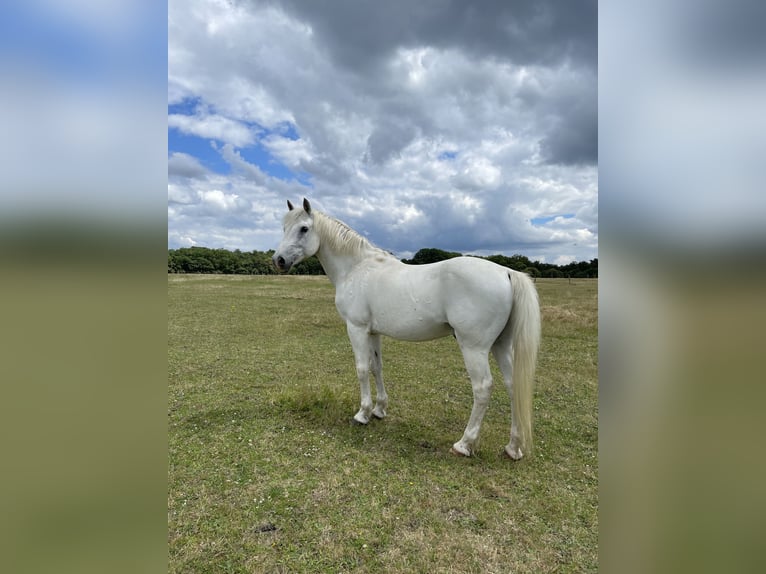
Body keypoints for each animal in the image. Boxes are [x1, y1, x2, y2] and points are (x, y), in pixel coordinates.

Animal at [272, 200, 544, 462]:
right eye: (283, 228)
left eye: (304, 228)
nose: (278, 261)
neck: (357, 268)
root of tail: (506, 272)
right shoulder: (373, 332)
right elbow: (376, 367)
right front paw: (379, 410)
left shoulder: (356, 329)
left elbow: (362, 369)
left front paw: (362, 414)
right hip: (500, 345)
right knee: (513, 386)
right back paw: (513, 448)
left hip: (473, 348)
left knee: (483, 388)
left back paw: (464, 444)